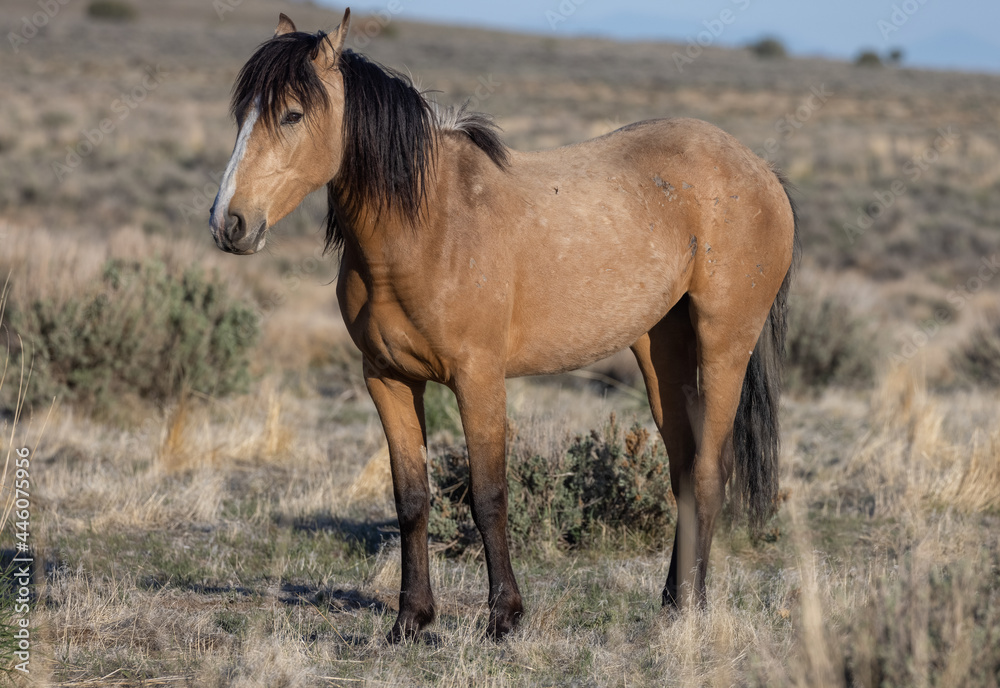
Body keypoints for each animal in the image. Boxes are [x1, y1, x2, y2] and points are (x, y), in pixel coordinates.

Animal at [209, 10, 796, 644]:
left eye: (293, 113)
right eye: (242, 114)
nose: (228, 223)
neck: (430, 227)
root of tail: (760, 170)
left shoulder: (479, 379)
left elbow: (488, 495)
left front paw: (504, 616)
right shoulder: (387, 379)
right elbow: (410, 498)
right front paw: (410, 620)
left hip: (724, 345)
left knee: (709, 473)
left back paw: (693, 611)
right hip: (662, 349)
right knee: (684, 470)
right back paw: (671, 600)